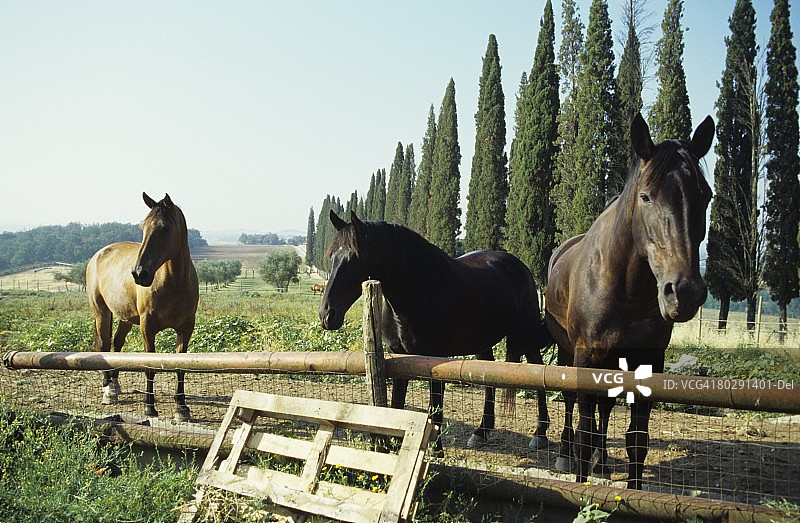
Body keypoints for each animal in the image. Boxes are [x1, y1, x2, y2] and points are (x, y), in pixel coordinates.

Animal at [86, 192, 199, 421]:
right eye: (143, 227)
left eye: (164, 227)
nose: (139, 273)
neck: (175, 282)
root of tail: (98, 255)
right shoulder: (147, 327)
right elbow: (149, 366)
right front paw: (149, 407)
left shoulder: (186, 327)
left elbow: (180, 366)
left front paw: (181, 408)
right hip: (102, 312)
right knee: (104, 345)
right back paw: (108, 391)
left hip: (125, 318)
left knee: (117, 344)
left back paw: (115, 384)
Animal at [319, 210, 552, 453]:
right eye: (332, 255)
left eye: (355, 257)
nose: (327, 314)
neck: (417, 290)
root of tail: (519, 267)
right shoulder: (401, 356)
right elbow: (398, 403)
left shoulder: (435, 360)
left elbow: (435, 407)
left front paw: (436, 450)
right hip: (483, 342)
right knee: (489, 378)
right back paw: (481, 432)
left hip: (526, 336)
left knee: (538, 372)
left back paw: (540, 434)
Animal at [545, 113, 714, 489]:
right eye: (646, 197)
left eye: (706, 196)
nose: (685, 292)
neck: (624, 288)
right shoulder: (585, 358)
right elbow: (584, 433)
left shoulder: (648, 362)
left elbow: (637, 441)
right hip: (567, 351)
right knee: (571, 404)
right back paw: (564, 454)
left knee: (605, 410)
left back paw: (603, 461)